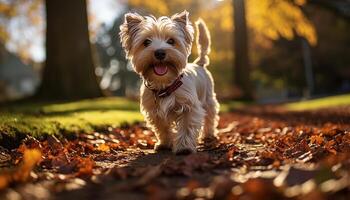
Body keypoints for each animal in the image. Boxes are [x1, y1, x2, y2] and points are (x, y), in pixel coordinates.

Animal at [120, 10, 219, 155]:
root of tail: (199, 63)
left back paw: (209, 135)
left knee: (210, 117)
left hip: (209, 99)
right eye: (146, 42)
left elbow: (186, 127)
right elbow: (162, 129)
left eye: (171, 41)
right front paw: (165, 144)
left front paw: (184, 147)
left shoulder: (189, 107)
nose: (160, 52)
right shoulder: (154, 111)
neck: (164, 84)